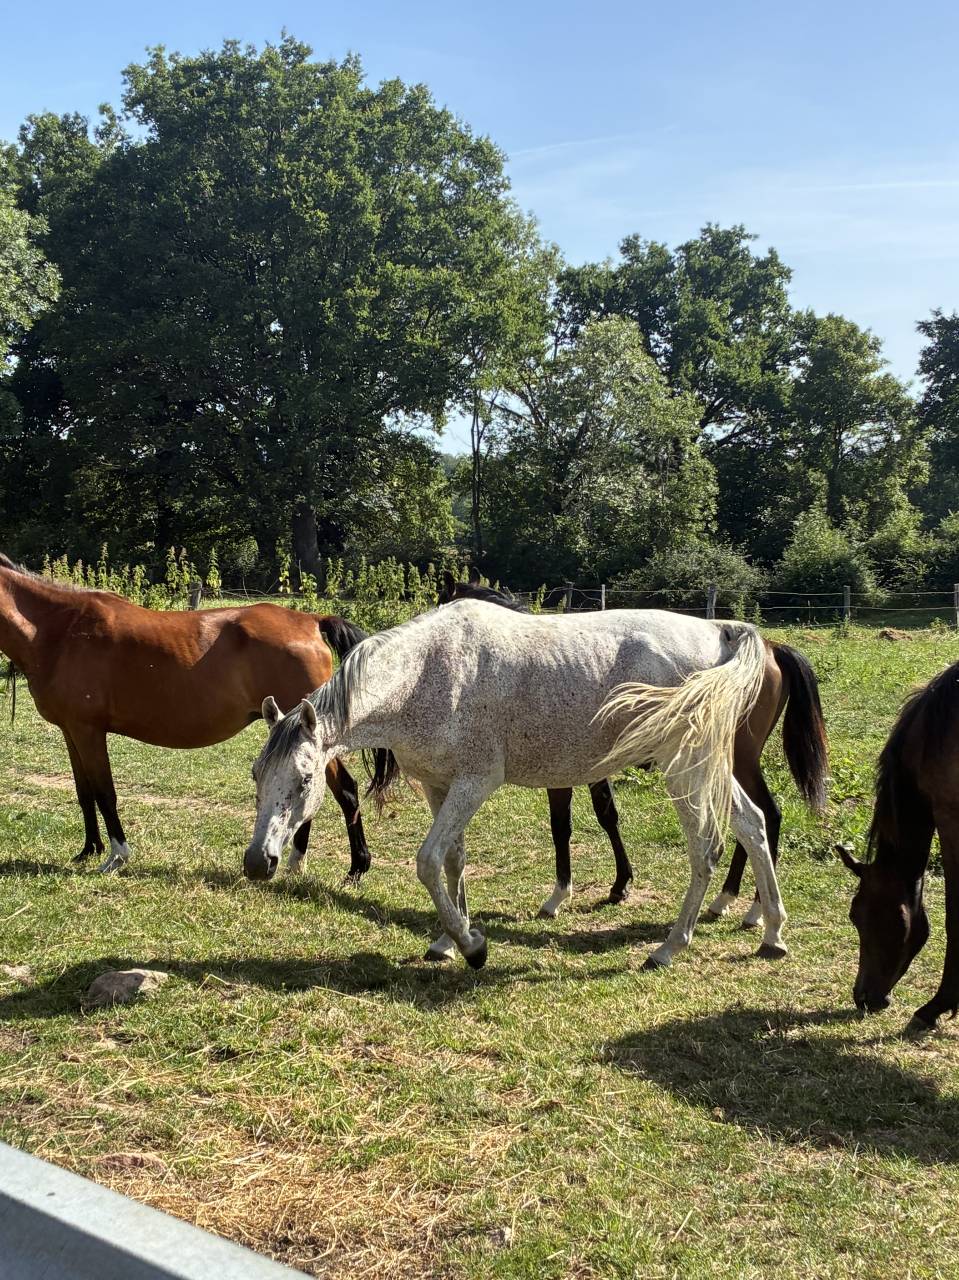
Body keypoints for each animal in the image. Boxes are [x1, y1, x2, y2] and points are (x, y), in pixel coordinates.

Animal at [0, 552, 374, 876]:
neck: (60, 630)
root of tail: (311, 621)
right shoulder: (71, 730)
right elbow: (84, 791)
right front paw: (88, 850)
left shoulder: (88, 731)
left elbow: (105, 792)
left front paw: (116, 856)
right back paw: (298, 862)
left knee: (345, 789)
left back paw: (355, 867)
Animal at [244, 599, 801, 971]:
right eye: (256, 775)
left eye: (305, 779)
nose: (258, 862)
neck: (427, 672)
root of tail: (721, 632)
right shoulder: (441, 786)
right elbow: (452, 862)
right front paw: (449, 939)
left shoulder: (474, 783)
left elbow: (427, 861)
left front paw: (473, 947)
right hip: (709, 766)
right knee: (752, 823)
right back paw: (771, 931)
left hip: (683, 766)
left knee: (705, 849)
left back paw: (669, 947)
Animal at [437, 572, 827, 925]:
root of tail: (769, 649)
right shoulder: (591, 768)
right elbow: (606, 815)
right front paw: (619, 883)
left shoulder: (562, 773)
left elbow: (565, 824)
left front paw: (564, 895)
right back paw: (732, 901)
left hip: (736, 762)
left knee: (767, 815)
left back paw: (752, 907)